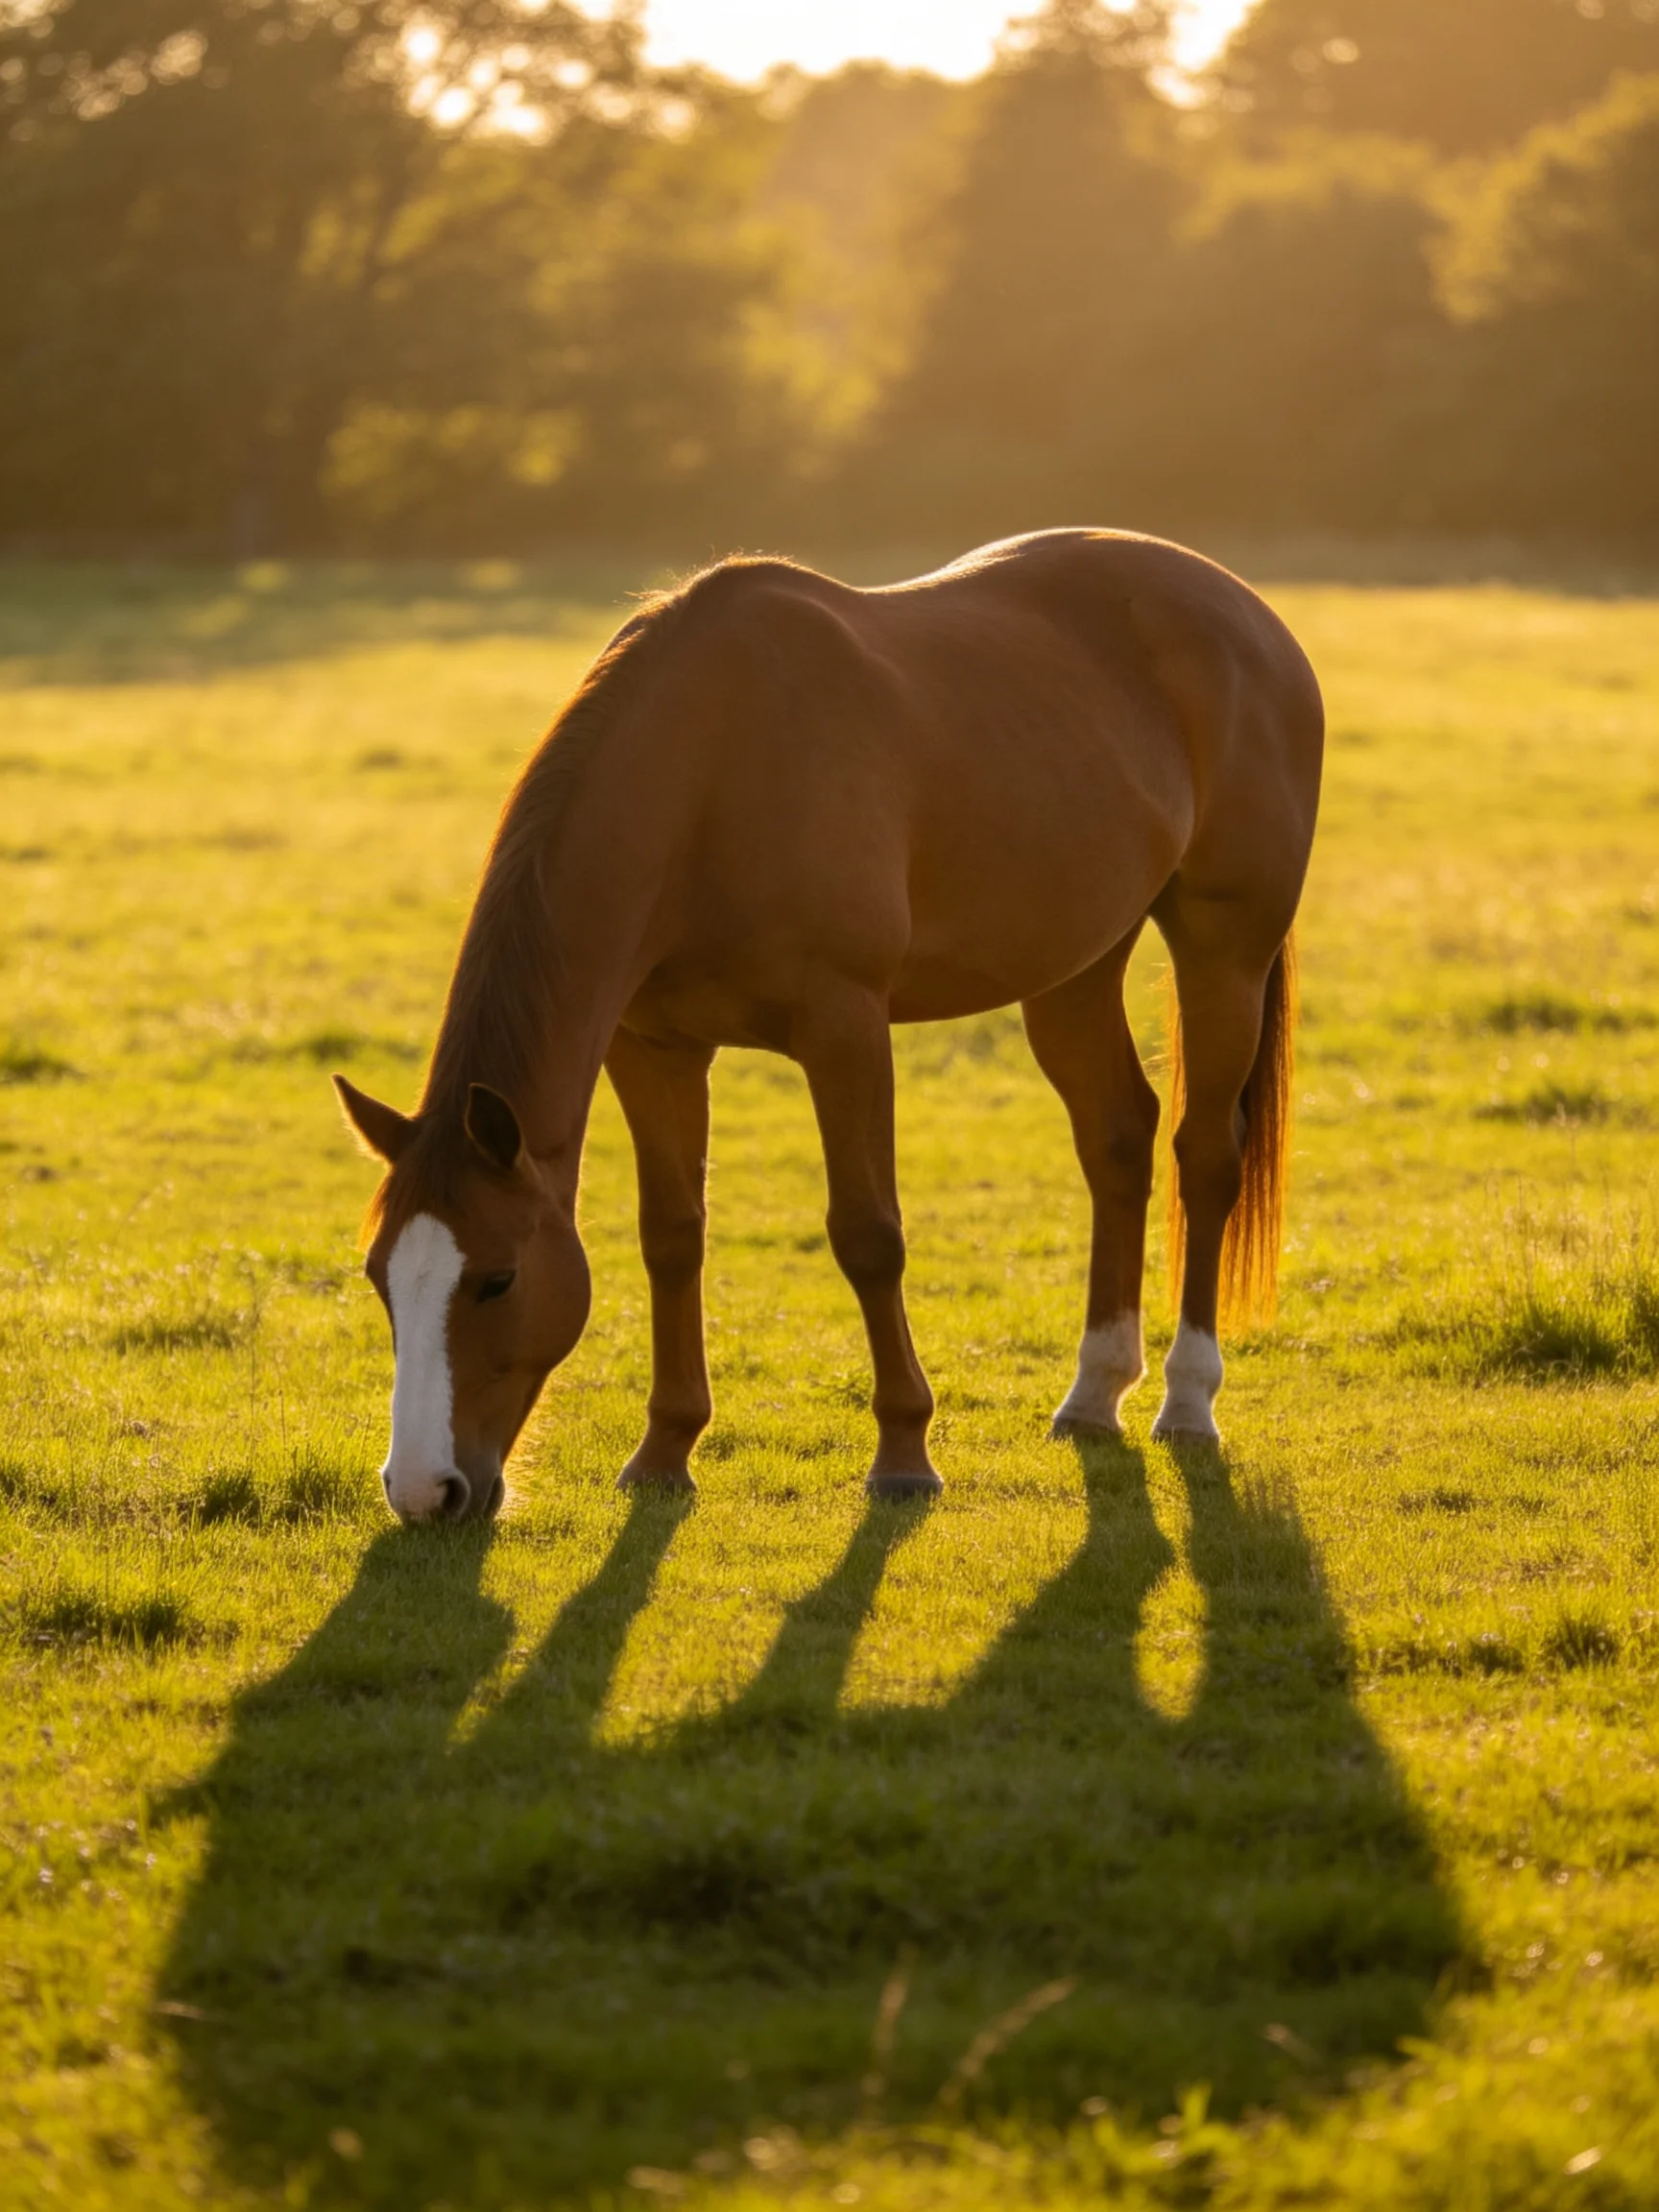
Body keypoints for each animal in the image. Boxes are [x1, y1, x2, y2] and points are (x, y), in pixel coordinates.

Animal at [335, 529, 1323, 1523]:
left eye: (497, 1279)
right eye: (381, 1276)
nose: (423, 1489)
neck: (709, 778)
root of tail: (1249, 616)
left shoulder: (844, 1027)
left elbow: (868, 1235)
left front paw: (904, 1452)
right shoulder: (654, 1049)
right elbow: (672, 1236)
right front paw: (665, 1450)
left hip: (1224, 952)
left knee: (1205, 1156)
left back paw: (1188, 1400)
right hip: (1073, 971)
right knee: (1118, 1140)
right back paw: (1093, 1393)